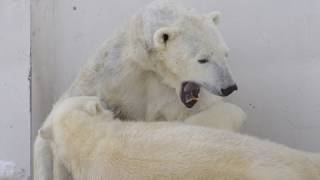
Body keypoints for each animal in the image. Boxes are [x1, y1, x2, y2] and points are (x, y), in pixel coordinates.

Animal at [33, 0, 246, 179]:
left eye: (225, 54)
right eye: (203, 59)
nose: (229, 87)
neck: (150, 65)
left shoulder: (172, 97)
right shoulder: (112, 72)